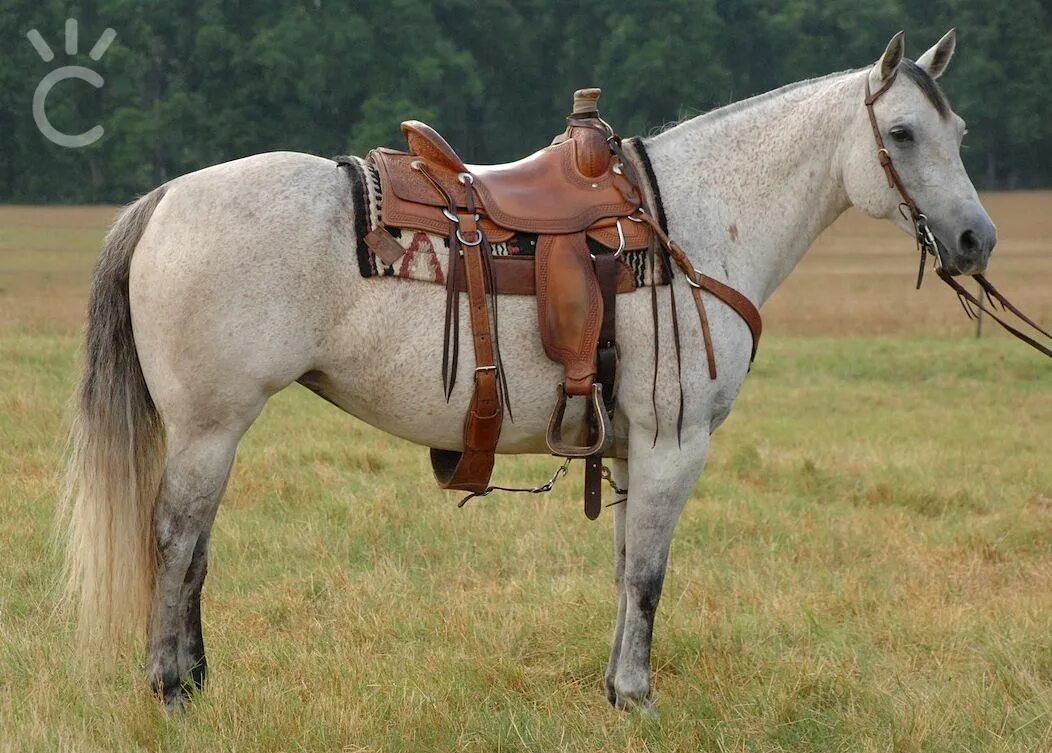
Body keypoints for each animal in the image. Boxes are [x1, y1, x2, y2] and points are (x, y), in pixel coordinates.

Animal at [63, 30, 993, 710]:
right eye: (902, 134)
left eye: (959, 135)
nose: (976, 238)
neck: (693, 222)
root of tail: (165, 198)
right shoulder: (674, 445)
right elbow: (649, 574)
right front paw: (636, 697)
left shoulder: (632, 449)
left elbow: (625, 568)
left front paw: (615, 689)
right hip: (208, 428)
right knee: (177, 540)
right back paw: (171, 687)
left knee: (195, 549)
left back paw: (195, 679)